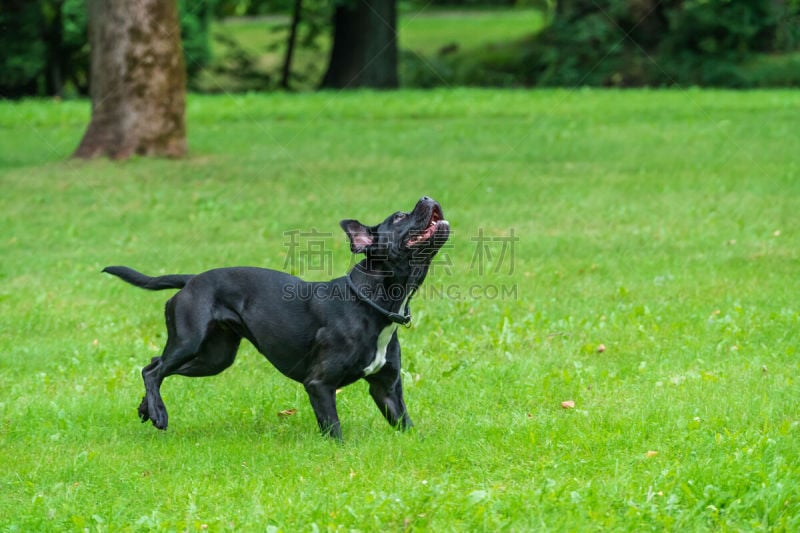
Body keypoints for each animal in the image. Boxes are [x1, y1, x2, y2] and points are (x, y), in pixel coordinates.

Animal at [104, 195, 450, 436]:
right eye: (399, 217)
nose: (427, 197)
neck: (371, 301)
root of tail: (191, 279)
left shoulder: (386, 389)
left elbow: (406, 424)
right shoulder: (319, 384)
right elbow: (334, 430)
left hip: (214, 358)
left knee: (155, 364)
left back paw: (147, 409)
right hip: (190, 341)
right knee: (152, 371)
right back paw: (159, 414)